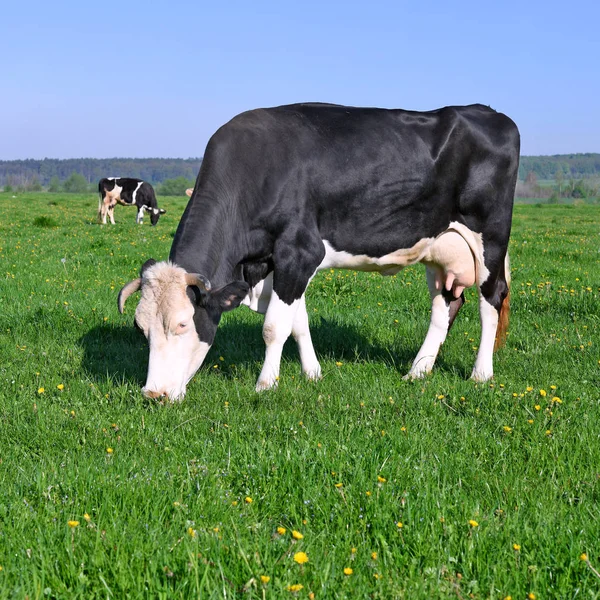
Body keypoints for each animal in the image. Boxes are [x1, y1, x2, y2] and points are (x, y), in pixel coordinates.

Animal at [118, 102, 520, 404]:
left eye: (183, 324)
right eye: (141, 328)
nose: (153, 394)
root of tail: (490, 113)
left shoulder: (299, 252)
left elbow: (274, 327)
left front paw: (266, 383)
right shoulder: (278, 263)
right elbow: (298, 322)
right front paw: (312, 373)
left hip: (490, 237)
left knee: (491, 299)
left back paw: (480, 374)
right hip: (441, 248)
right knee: (445, 305)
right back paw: (417, 371)